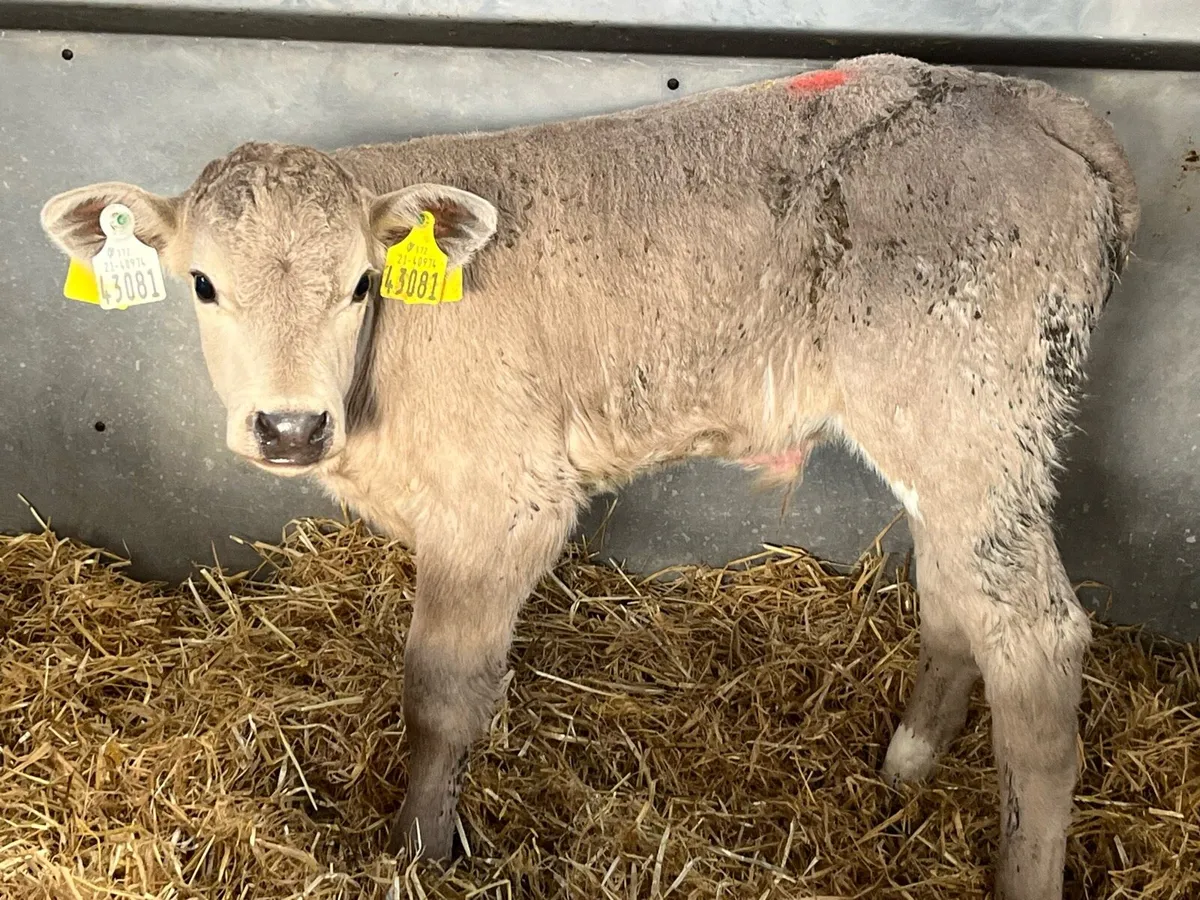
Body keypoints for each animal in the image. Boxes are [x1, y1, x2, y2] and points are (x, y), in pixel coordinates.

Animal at [41, 54, 1139, 900]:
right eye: (202, 283)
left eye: (358, 283)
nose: (288, 425)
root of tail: (1028, 100)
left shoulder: (505, 501)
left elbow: (439, 693)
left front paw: (418, 849)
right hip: (959, 438)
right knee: (958, 592)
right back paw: (907, 760)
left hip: (970, 407)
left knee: (1036, 637)